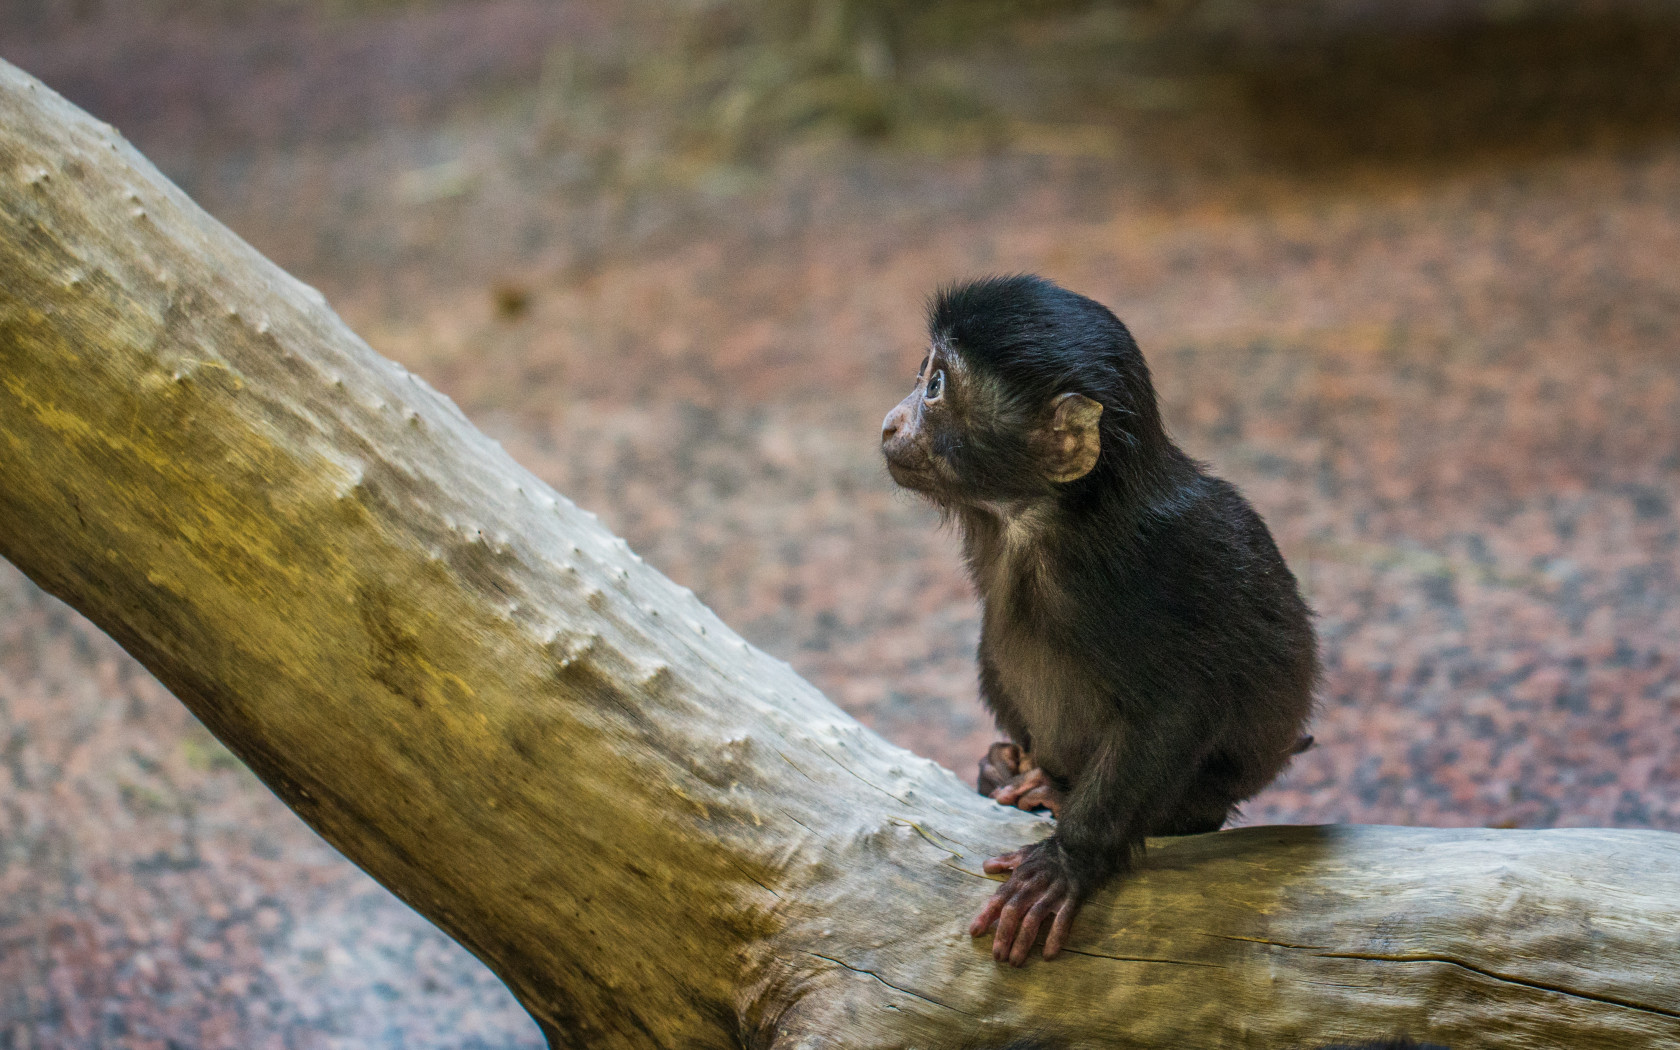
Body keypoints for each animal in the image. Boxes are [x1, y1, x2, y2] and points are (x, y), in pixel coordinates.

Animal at [880, 275, 1318, 965]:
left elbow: (1181, 704)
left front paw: (1069, 859)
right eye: (923, 372)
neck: (1043, 518)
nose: (890, 422)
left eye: (936, 386)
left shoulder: (1130, 570)